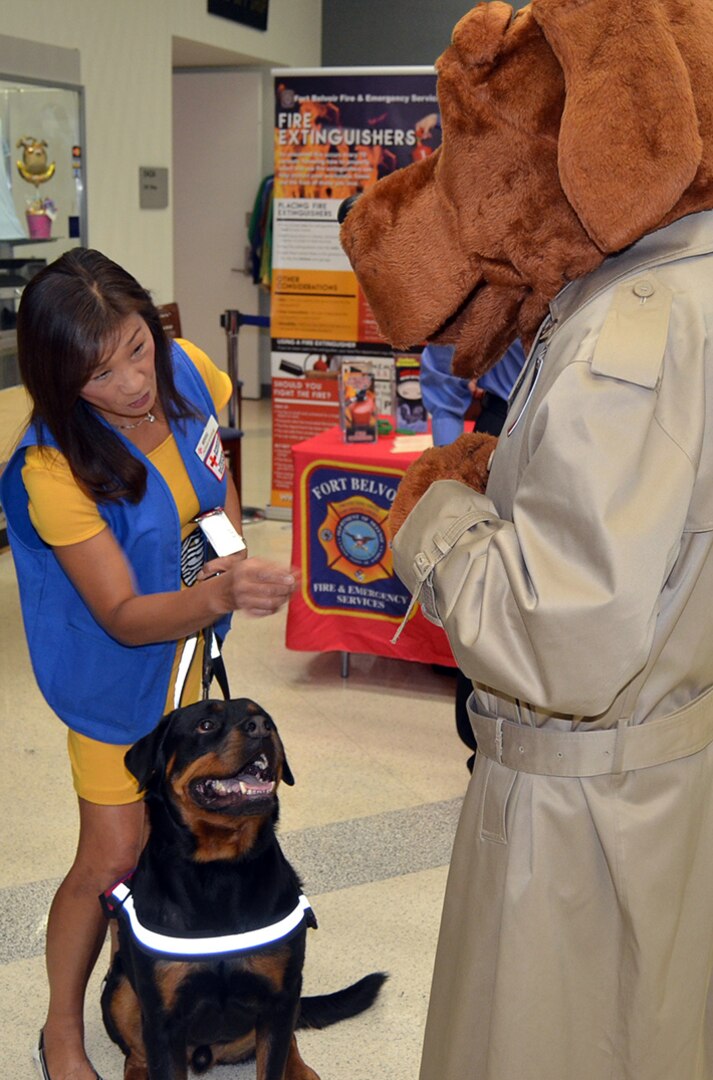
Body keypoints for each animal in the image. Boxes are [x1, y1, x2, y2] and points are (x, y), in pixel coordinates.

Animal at [100, 699, 384, 1080]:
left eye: (268, 720)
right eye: (205, 724)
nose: (261, 727)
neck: (220, 868)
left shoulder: (279, 998)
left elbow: (274, 1060)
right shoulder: (163, 1018)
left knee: (291, 1040)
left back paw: (301, 1070)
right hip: (120, 990)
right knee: (136, 1055)